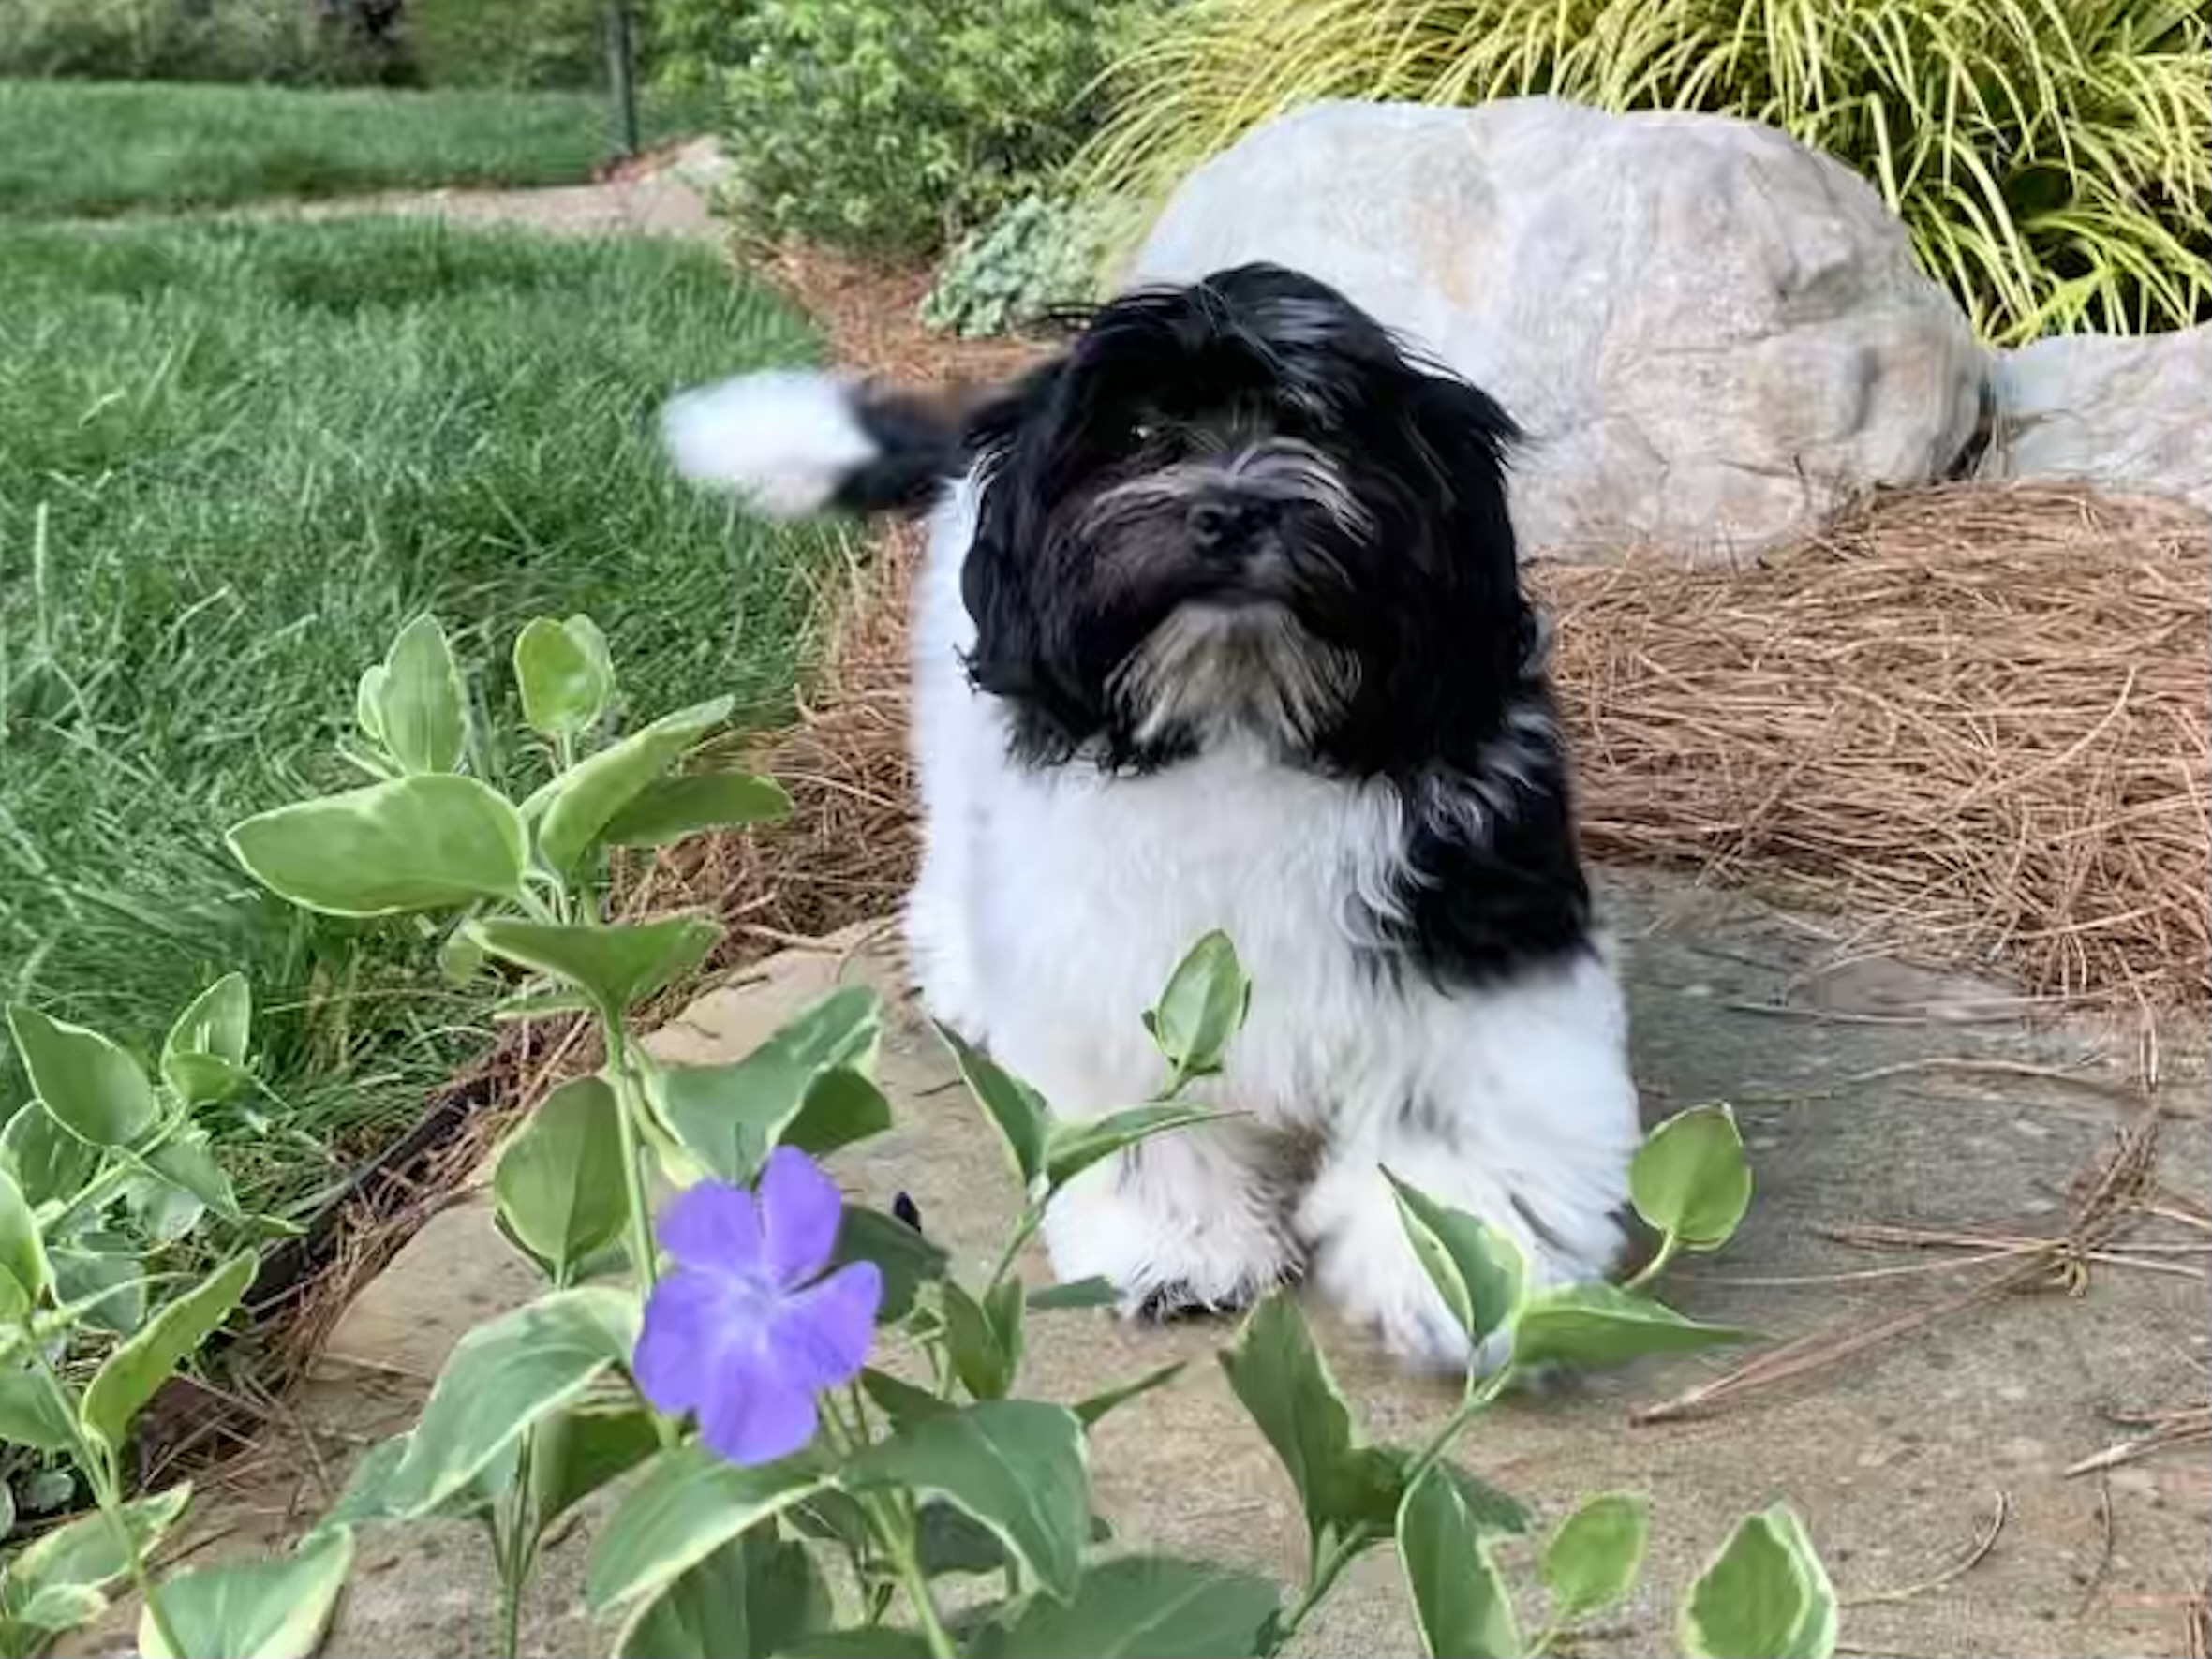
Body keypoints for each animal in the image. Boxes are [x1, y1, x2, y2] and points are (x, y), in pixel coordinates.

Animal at [663, 266, 1637, 1371]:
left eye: (1321, 427)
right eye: (1135, 436)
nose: (1230, 510)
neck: (1243, 714)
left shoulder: (1473, 895)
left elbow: (1458, 1096)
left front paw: (1455, 1271)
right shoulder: (1127, 953)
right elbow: (1137, 1102)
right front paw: (1180, 1240)